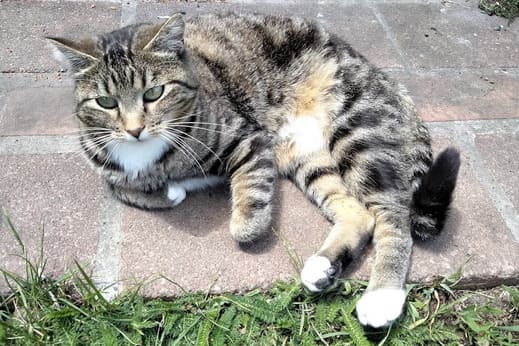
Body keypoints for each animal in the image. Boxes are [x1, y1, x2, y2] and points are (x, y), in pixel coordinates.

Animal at [48, 12, 462, 328]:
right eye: (105, 102)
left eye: (154, 93)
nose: (134, 129)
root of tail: (383, 76)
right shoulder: (103, 161)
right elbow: (122, 186)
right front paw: (166, 189)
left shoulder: (250, 138)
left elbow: (248, 200)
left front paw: (244, 220)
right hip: (308, 157)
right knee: (359, 212)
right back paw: (324, 266)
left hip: (357, 129)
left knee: (393, 214)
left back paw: (382, 297)